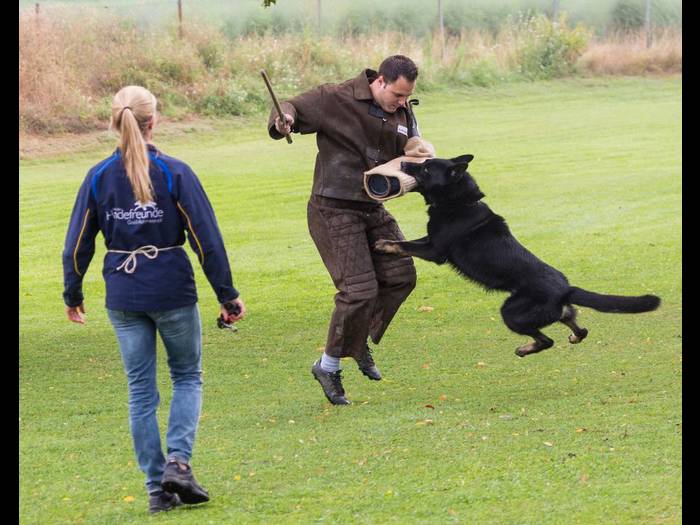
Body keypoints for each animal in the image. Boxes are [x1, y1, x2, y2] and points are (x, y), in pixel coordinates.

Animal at [374, 155, 660, 356]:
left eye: (424, 169)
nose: (403, 162)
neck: (461, 202)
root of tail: (565, 289)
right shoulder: (430, 240)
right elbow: (407, 241)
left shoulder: (434, 250)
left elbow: (403, 245)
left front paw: (383, 244)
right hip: (554, 313)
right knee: (579, 327)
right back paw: (573, 336)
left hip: (511, 312)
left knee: (547, 339)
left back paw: (525, 349)